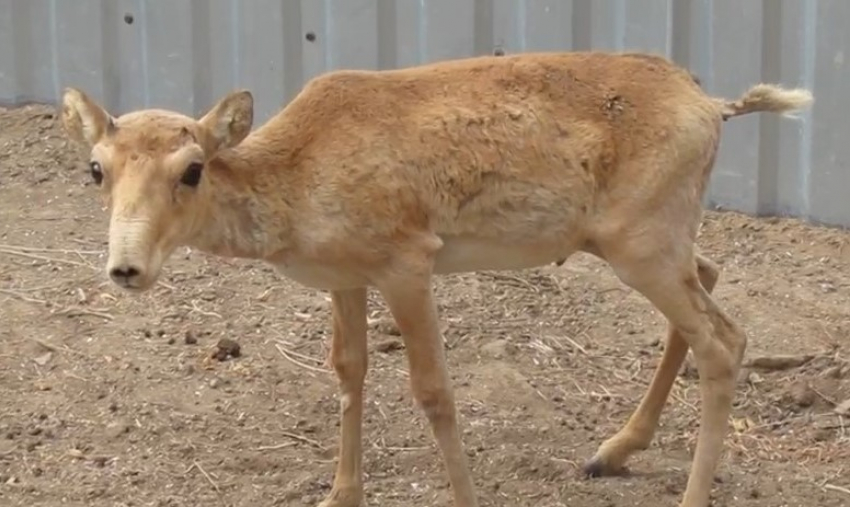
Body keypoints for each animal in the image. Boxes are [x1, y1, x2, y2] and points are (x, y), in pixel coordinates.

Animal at [59, 52, 808, 507]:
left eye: (191, 169)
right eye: (96, 168)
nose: (126, 267)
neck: (294, 179)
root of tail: (716, 104)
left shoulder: (406, 262)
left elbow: (433, 391)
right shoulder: (347, 276)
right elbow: (349, 371)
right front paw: (340, 492)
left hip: (642, 244)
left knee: (724, 339)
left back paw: (683, 486)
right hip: (651, 240)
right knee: (709, 280)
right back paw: (612, 451)